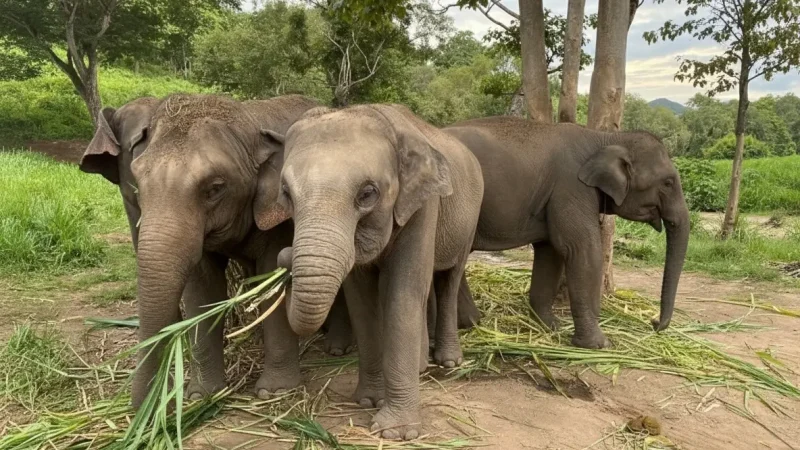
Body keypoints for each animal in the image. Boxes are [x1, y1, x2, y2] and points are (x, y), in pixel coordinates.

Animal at [79, 93, 353, 409]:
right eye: (138, 186)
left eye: (215, 189)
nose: (158, 405)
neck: (249, 126)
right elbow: (202, 290)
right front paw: (202, 395)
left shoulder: (280, 216)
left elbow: (272, 275)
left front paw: (274, 392)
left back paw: (336, 348)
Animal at [258, 104, 484, 440]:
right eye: (286, 193)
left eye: (367, 194)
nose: (283, 256)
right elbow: (361, 301)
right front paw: (368, 401)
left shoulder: (423, 206)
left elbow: (403, 293)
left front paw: (396, 433)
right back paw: (421, 368)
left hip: (469, 221)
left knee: (449, 280)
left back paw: (448, 362)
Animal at [440, 117, 689, 349]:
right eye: (668, 182)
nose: (654, 323)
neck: (605, 138)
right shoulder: (571, 188)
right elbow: (581, 249)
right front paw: (599, 345)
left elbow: (551, 253)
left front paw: (550, 327)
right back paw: (468, 323)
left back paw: (471, 322)